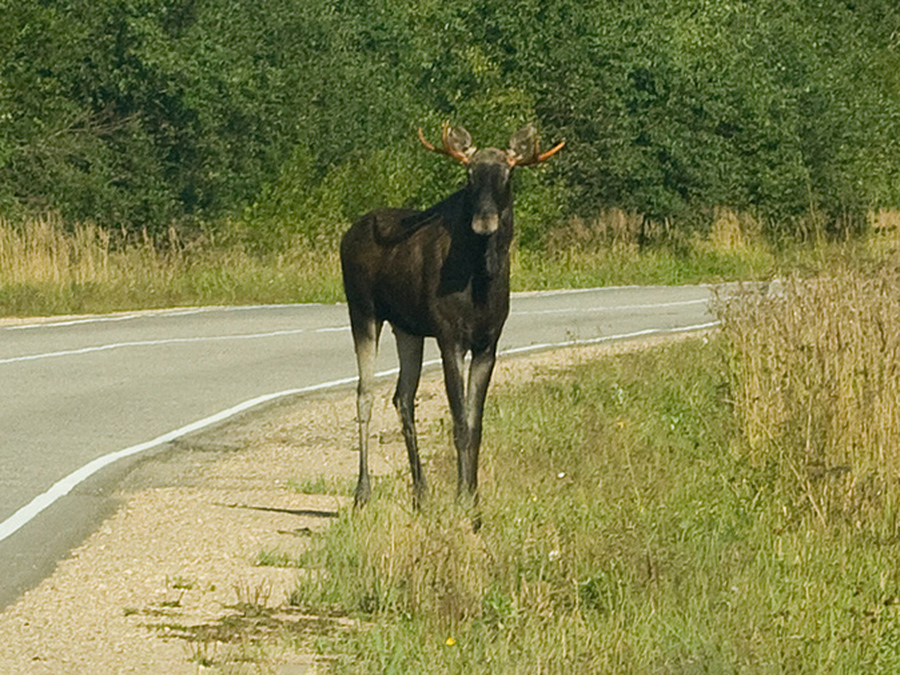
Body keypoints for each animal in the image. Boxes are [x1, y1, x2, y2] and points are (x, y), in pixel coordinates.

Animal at [342, 124, 568, 516]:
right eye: (469, 174)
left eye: (508, 174)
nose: (484, 221)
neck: (480, 282)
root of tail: (344, 236)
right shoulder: (450, 337)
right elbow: (460, 423)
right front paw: (463, 500)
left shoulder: (488, 343)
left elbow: (475, 425)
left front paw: (474, 499)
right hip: (363, 309)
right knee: (365, 394)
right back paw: (363, 492)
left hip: (408, 328)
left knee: (403, 397)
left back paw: (421, 492)